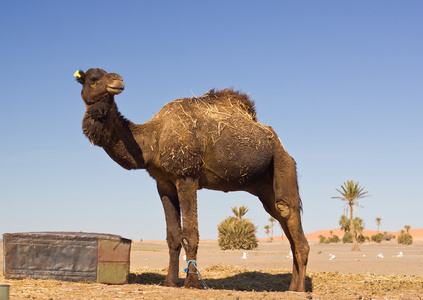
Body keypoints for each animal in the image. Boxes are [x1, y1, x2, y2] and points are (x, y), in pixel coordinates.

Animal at [74, 68, 310, 290]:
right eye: (92, 78)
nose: (118, 80)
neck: (154, 139)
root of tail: (279, 144)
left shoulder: (186, 175)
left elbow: (189, 235)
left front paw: (191, 283)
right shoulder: (164, 184)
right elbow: (173, 237)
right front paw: (169, 282)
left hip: (283, 164)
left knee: (289, 212)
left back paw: (298, 290)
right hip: (264, 185)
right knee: (282, 218)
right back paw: (290, 287)